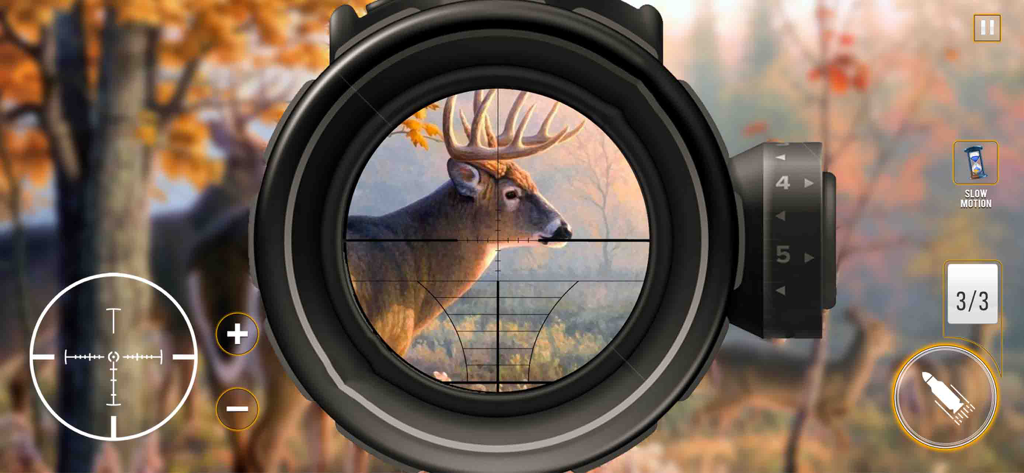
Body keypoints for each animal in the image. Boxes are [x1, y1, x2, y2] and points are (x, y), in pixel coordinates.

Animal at [695, 307, 896, 449]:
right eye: (881, 331)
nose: (893, 342)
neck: (847, 376)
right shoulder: (820, 407)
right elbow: (844, 444)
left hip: (737, 398)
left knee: (718, 422)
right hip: (732, 391)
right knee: (700, 415)